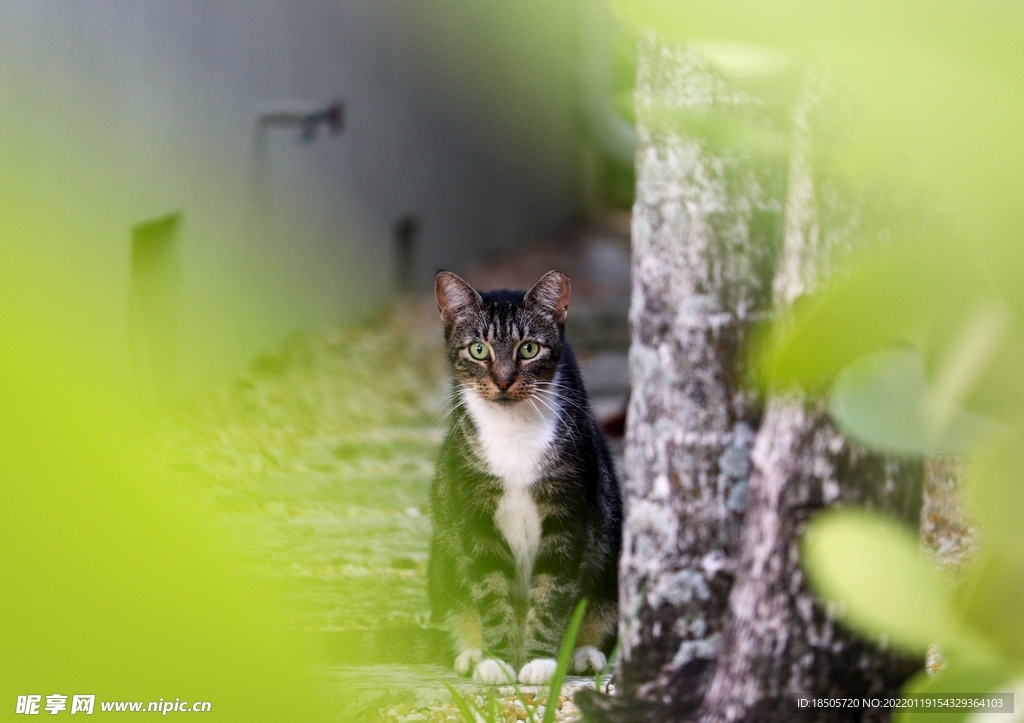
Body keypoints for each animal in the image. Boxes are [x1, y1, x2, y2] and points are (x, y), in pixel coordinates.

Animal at [425, 268, 618, 679]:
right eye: (478, 350)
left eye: (528, 349)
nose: (503, 380)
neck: (513, 429)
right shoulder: (475, 515)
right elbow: (489, 586)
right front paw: (497, 662)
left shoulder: (568, 512)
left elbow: (553, 589)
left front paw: (540, 661)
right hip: (441, 564)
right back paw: (472, 652)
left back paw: (583, 654)